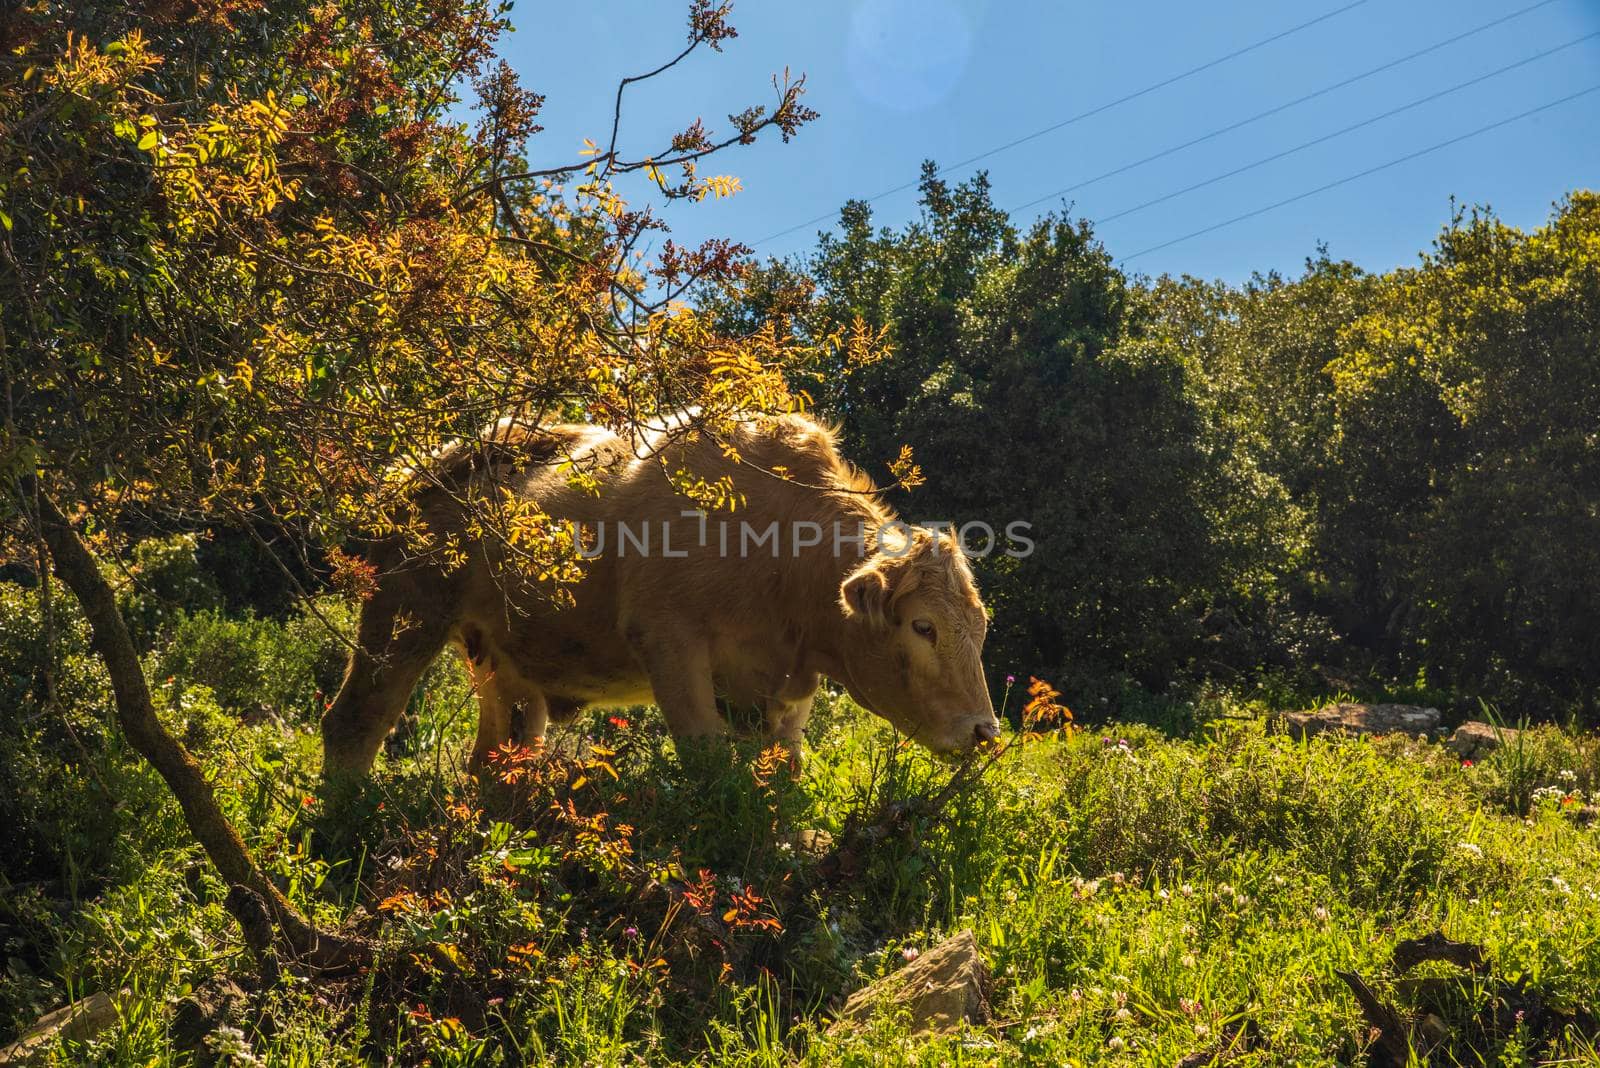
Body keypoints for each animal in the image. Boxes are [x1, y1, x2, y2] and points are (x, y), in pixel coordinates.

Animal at [320, 412, 998, 777]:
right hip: (403, 611)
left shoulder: (787, 691)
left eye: (980, 628)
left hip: (504, 665)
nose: (984, 732)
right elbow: (705, 761)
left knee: (499, 755)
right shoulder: (671, 645)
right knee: (356, 720)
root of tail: (425, 464)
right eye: (923, 627)